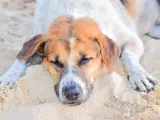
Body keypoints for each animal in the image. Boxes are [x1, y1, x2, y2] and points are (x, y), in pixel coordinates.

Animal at [0, 0, 159, 105]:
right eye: (55, 62)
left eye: (85, 59)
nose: (71, 94)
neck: (73, 10)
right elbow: (23, 56)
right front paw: (9, 76)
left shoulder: (132, 39)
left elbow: (129, 55)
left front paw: (140, 75)